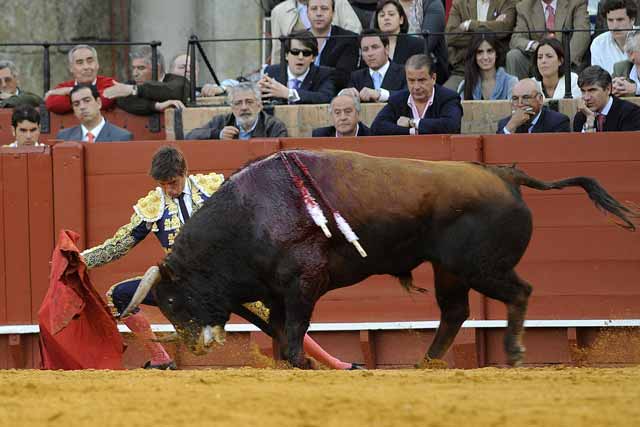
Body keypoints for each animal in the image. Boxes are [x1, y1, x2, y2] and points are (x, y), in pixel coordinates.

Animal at [121, 150, 636, 368]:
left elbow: (295, 329)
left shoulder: (303, 282)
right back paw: (427, 363)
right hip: (450, 270)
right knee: (455, 311)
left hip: (480, 267)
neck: (249, 217)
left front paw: (300, 365)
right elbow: (284, 331)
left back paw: (513, 352)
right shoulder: (278, 291)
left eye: (173, 300)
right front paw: (292, 365)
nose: (193, 347)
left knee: (519, 292)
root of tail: (504, 173)